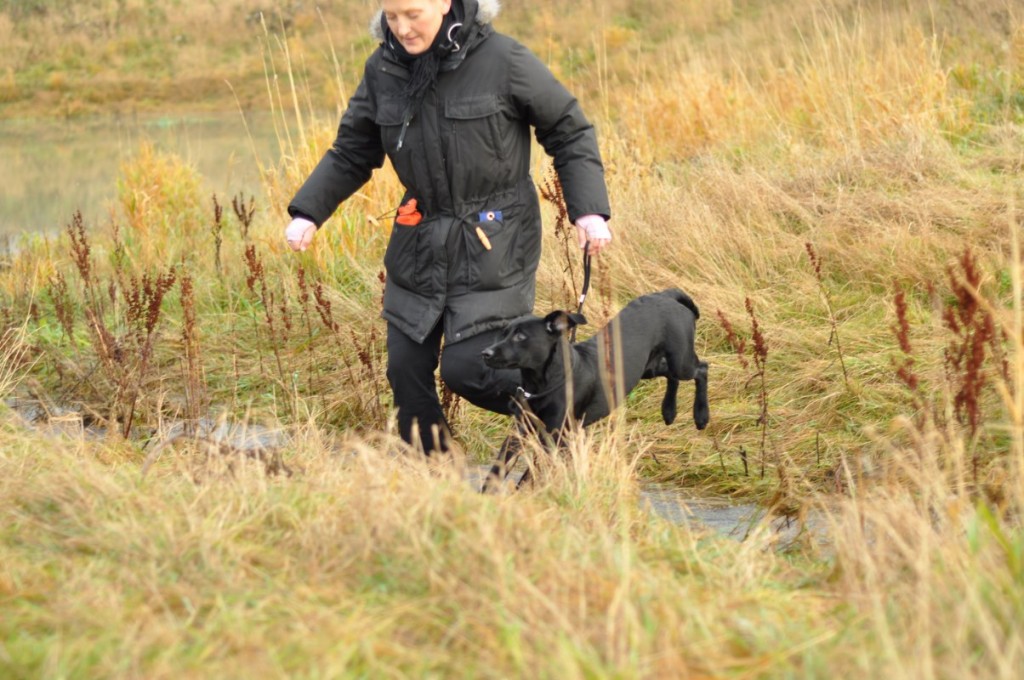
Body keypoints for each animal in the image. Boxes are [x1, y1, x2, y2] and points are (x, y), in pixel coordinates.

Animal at [481, 284, 708, 454]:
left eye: (520, 336)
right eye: (503, 334)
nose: (485, 353)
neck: (544, 384)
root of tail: (667, 296)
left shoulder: (557, 433)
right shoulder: (523, 428)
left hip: (681, 361)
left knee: (702, 369)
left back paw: (701, 415)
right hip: (649, 367)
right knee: (671, 376)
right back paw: (669, 411)